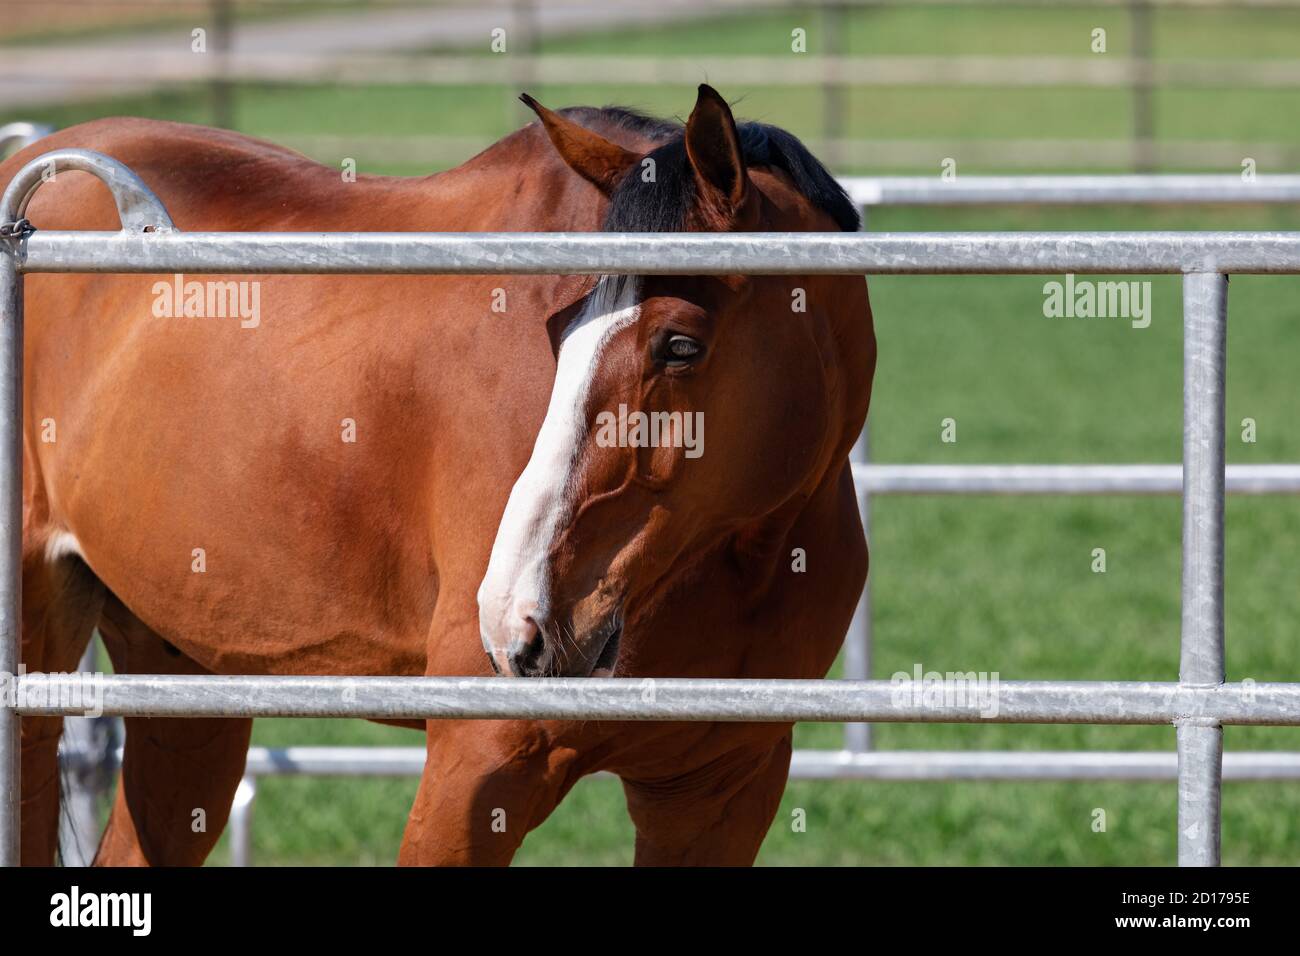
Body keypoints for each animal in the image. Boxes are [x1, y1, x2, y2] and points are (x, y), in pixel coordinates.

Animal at [6, 84, 875, 866]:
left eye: (681, 344)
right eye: (559, 329)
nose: (515, 620)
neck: (744, 557)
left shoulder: (717, 792)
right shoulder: (475, 770)